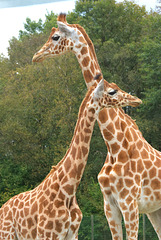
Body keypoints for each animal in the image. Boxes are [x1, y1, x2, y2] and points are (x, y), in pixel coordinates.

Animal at [0, 75, 142, 240]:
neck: (67, 191)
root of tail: (2, 209)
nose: (136, 100)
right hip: (7, 234)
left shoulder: (72, 233)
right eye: (112, 91)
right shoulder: (47, 234)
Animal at [31, 14, 161, 239]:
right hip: (154, 210)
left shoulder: (130, 203)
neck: (115, 145)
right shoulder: (109, 205)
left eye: (55, 36)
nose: (36, 56)